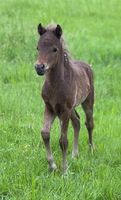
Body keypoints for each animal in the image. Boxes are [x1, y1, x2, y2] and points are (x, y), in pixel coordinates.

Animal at [34, 22, 94, 171]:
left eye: (55, 49)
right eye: (38, 47)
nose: (39, 67)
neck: (56, 85)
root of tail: (87, 65)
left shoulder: (64, 110)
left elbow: (63, 140)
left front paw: (65, 169)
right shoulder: (50, 108)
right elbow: (45, 133)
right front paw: (52, 166)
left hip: (88, 101)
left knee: (89, 123)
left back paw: (91, 150)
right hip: (71, 108)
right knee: (77, 122)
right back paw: (74, 154)